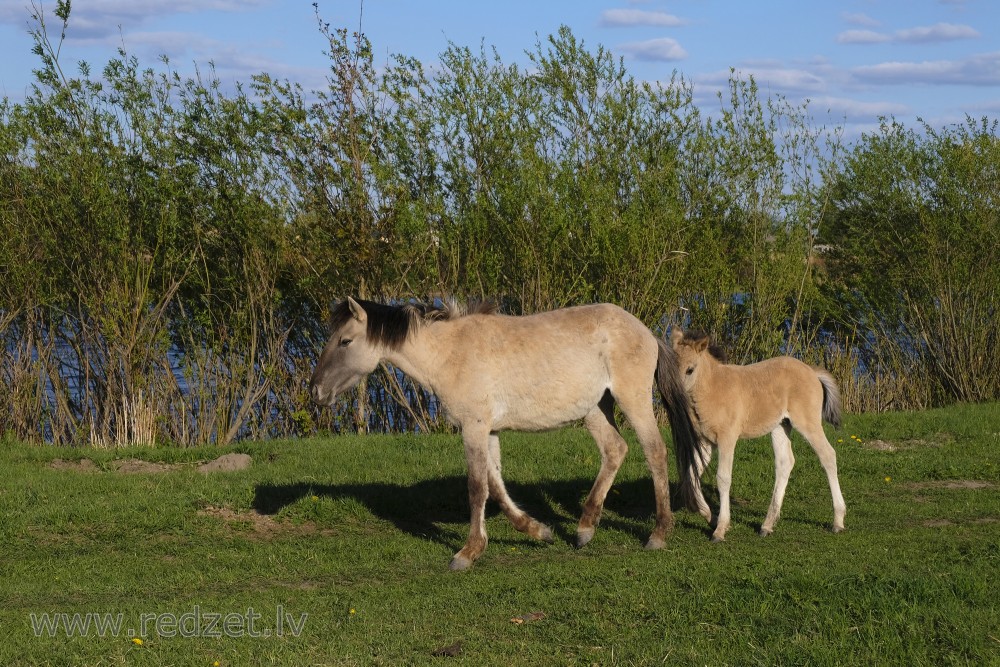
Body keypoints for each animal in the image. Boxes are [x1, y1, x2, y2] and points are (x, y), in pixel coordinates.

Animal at [308, 300, 700, 572]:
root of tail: (646, 332)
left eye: (345, 340)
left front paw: (466, 553)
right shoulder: (488, 429)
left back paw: (658, 534)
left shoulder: (474, 426)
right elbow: (495, 485)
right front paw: (538, 531)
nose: (316, 392)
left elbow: (477, 487)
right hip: (594, 409)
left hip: (631, 400)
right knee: (615, 450)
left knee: (655, 452)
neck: (450, 353)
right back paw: (585, 529)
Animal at [672, 328, 844, 544]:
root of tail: (812, 371)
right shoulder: (705, 442)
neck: (713, 389)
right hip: (780, 426)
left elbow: (723, 478)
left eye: (690, 369)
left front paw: (720, 529)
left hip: (808, 422)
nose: (675, 395)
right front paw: (711, 517)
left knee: (828, 455)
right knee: (785, 463)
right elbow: (691, 476)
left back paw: (838, 521)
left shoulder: (727, 440)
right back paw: (767, 525)